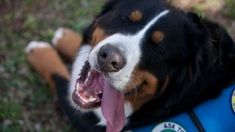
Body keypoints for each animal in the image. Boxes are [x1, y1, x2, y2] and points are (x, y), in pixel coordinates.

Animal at [25, 0, 235, 131]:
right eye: (125, 18)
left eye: (158, 48)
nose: (109, 58)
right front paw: (66, 36)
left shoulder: (84, 118)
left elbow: (58, 77)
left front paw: (39, 50)